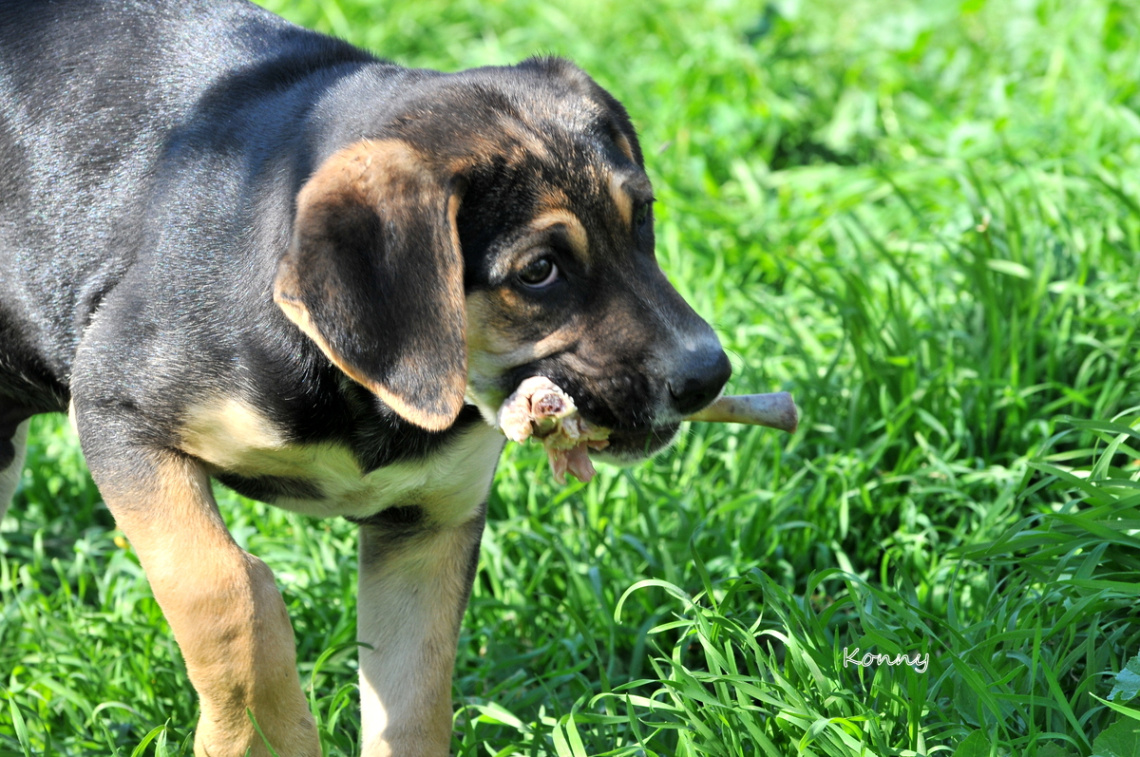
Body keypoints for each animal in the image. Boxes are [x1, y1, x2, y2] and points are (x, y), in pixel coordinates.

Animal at [0, 2, 729, 752]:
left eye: (642, 218)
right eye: (538, 271)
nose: (710, 374)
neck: (365, 398)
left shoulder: (426, 529)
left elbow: (413, 705)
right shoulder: (117, 408)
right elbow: (225, 588)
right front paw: (263, 733)